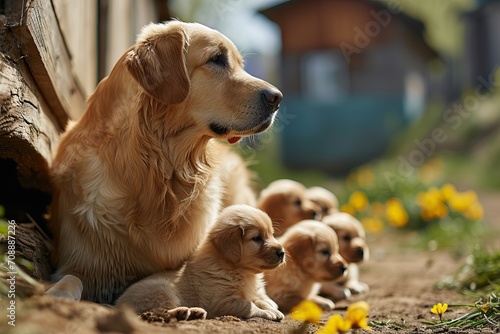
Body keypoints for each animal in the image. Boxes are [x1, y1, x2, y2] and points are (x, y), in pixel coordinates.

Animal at [47, 20, 284, 302]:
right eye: (216, 59)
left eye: (239, 64)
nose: (277, 97)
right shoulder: (79, 261)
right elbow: (71, 278)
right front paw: (58, 294)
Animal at [114, 205, 284, 322]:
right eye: (257, 238)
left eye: (271, 234)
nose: (282, 252)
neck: (236, 269)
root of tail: (117, 306)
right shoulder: (222, 302)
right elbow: (249, 306)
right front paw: (268, 312)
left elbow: (259, 299)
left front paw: (272, 308)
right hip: (161, 291)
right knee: (157, 313)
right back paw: (182, 313)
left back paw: (195, 313)